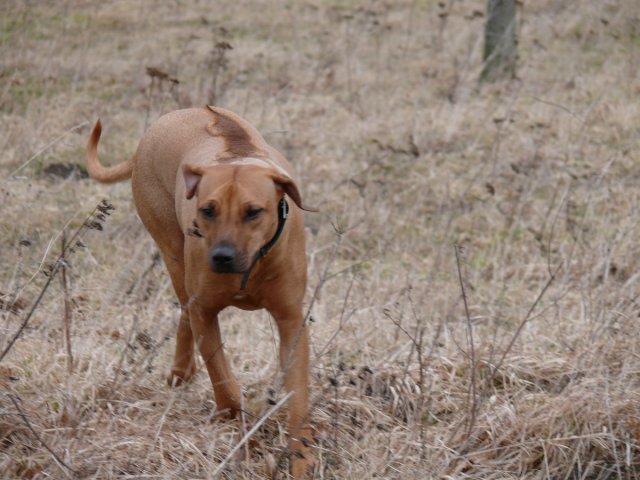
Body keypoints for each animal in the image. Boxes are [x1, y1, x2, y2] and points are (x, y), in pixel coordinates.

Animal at [86, 105, 315, 478]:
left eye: (253, 212)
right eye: (208, 210)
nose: (221, 257)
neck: (251, 266)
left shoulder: (291, 321)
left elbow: (297, 393)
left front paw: (301, 456)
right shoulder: (206, 312)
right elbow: (223, 380)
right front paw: (241, 439)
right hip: (172, 251)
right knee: (184, 308)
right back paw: (182, 371)